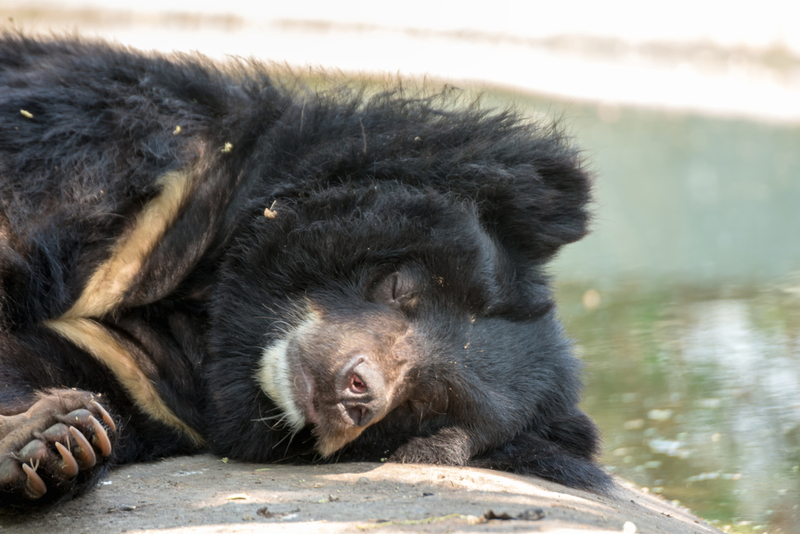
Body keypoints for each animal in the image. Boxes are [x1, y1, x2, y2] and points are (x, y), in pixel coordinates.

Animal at [0, 34, 608, 516]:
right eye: (401, 286)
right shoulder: (135, 157)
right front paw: (44, 434)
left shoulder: (141, 376)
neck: (213, 316)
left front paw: (55, 444)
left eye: (425, 406)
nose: (355, 392)